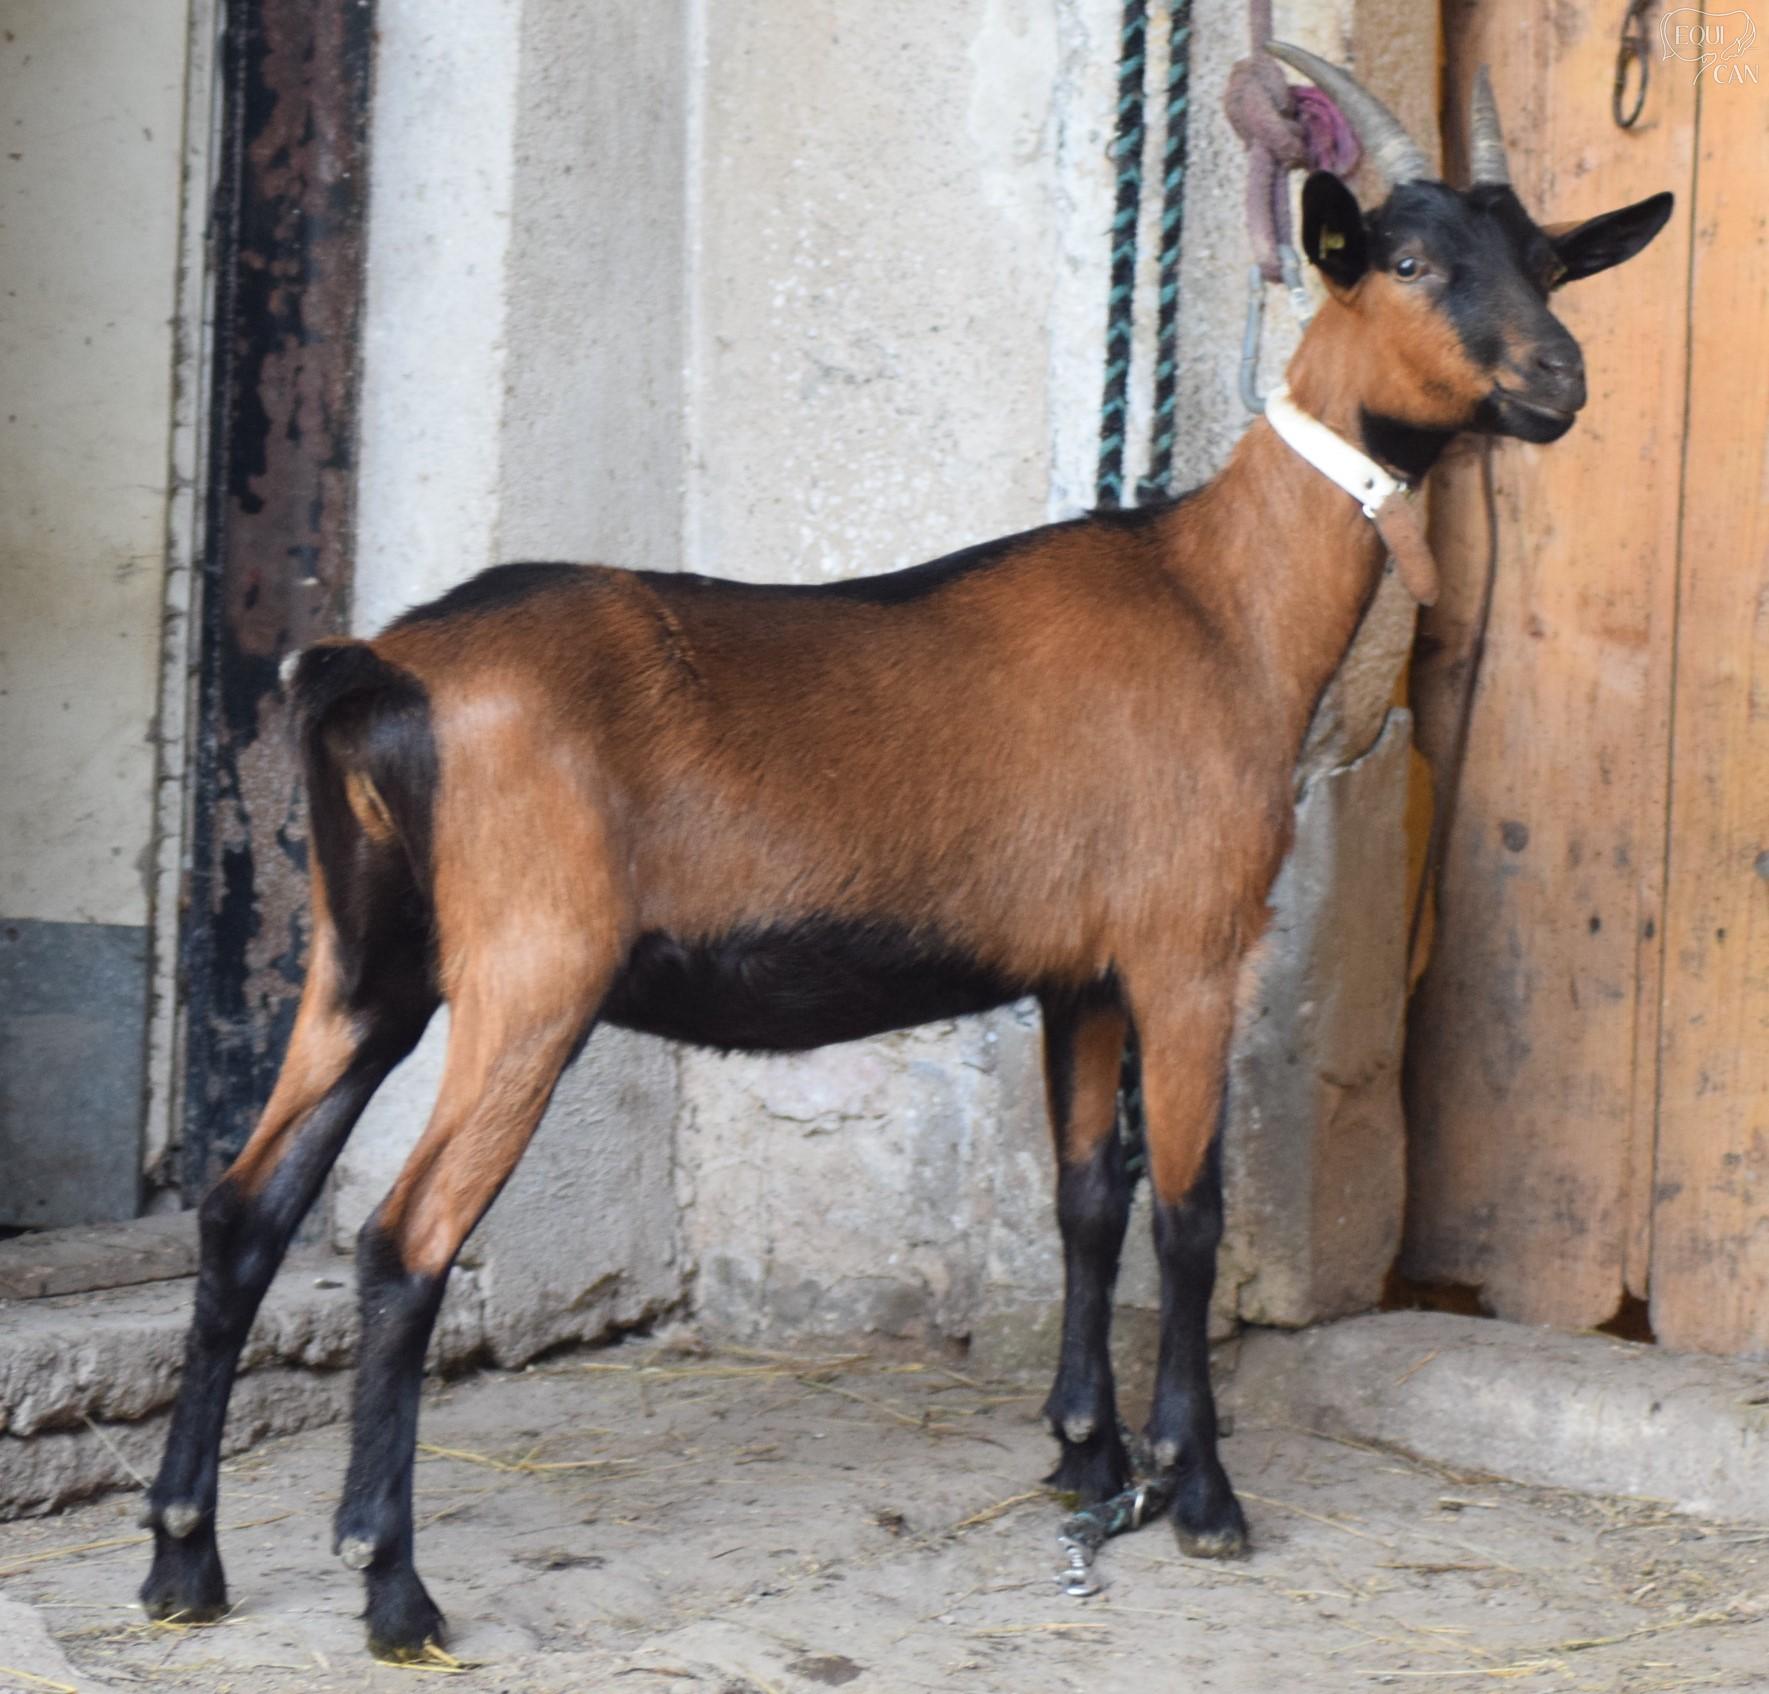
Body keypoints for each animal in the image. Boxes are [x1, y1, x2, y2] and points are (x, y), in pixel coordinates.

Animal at [140, 47, 1672, 1660]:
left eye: (1548, 261)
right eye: (1411, 260)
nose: (1558, 381)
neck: (1219, 603)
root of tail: (378, 669)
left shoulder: (1078, 973)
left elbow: (1085, 1197)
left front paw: (1089, 1461)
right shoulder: (1187, 948)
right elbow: (1186, 1213)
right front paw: (1199, 1494)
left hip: (367, 957)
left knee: (247, 1208)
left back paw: (183, 1559)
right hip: (529, 969)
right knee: (401, 1239)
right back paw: (392, 1584)